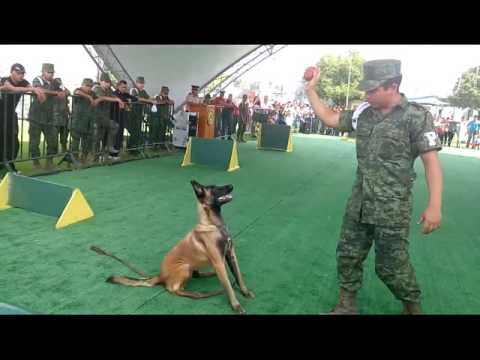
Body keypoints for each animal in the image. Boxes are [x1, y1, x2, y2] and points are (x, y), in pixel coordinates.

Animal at [91, 180, 255, 316]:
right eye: (215, 189)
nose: (231, 185)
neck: (214, 225)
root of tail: (160, 276)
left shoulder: (231, 256)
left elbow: (238, 277)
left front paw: (245, 292)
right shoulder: (219, 262)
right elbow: (228, 287)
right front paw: (236, 305)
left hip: (192, 266)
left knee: (195, 275)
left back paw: (209, 275)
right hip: (184, 267)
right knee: (174, 289)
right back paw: (196, 294)